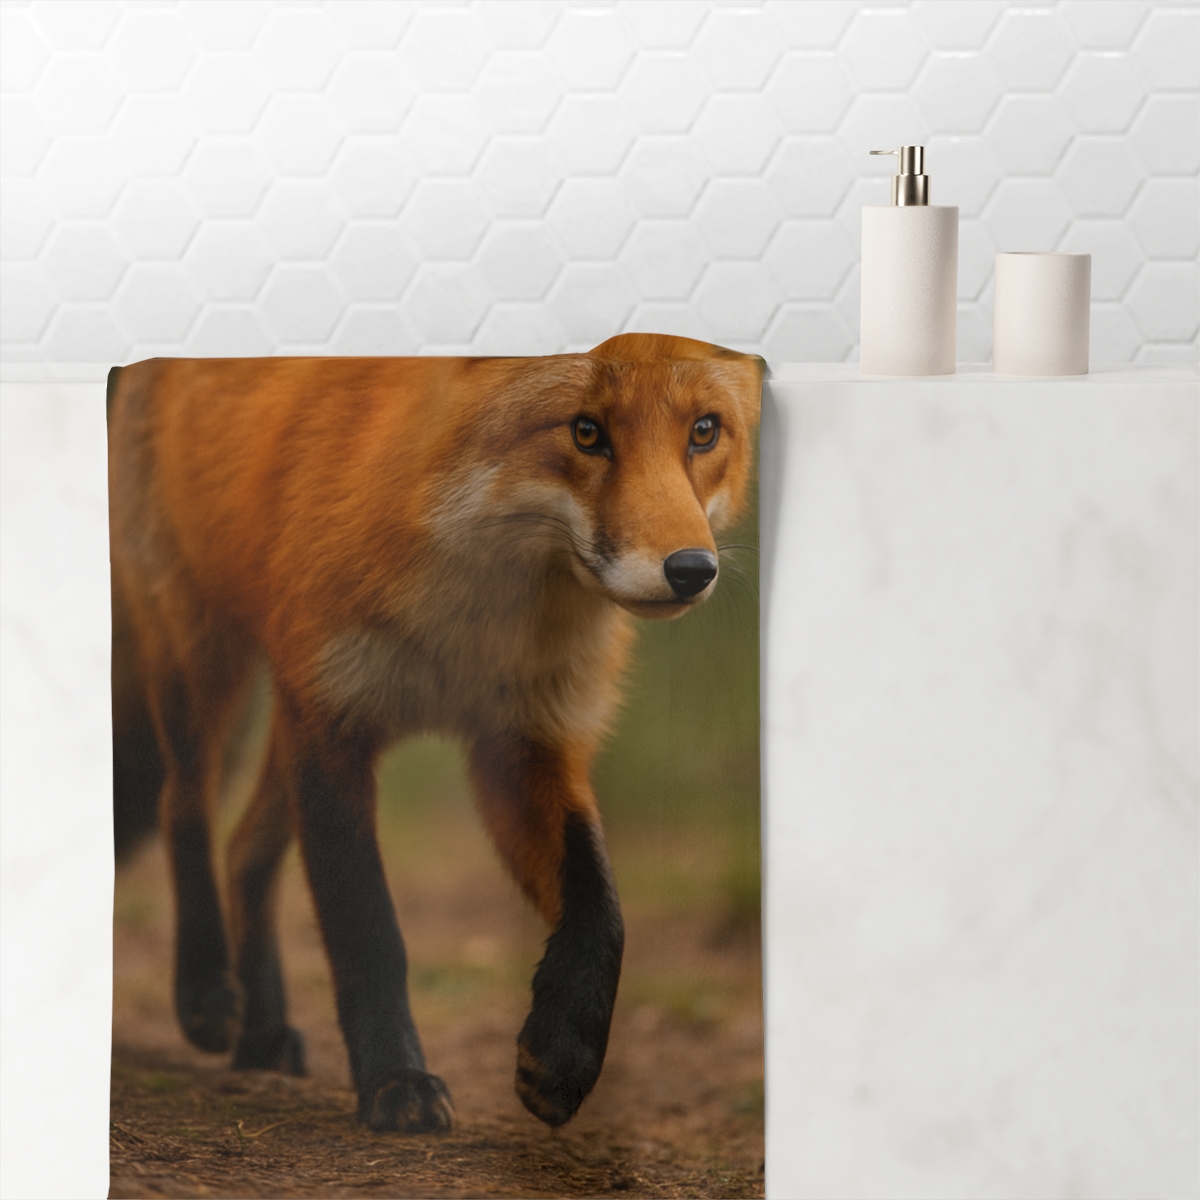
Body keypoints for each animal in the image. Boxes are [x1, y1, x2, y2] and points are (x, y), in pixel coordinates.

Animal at [108, 332, 764, 1132]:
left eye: (704, 431)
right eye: (586, 432)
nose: (692, 570)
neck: (471, 629)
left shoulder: (524, 742)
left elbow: (601, 908)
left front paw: (564, 1056)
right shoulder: (334, 721)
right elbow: (368, 929)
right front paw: (397, 1081)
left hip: (280, 712)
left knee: (246, 851)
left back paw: (263, 1032)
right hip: (204, 655)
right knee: (184, 805)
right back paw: (205, 991)